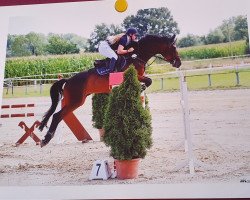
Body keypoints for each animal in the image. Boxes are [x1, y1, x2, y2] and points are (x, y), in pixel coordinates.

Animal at [38, 34, 181, 147]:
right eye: (173, 48)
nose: (178, 63)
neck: (136, 56)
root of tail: (68, 81)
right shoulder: (134, 75)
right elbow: (149, 81)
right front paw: (141, 88)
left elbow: (148, 81)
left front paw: (141, 88)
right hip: (76, 101)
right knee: (57, 116)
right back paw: (46, 139)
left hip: (72, 100)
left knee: (58, 115)